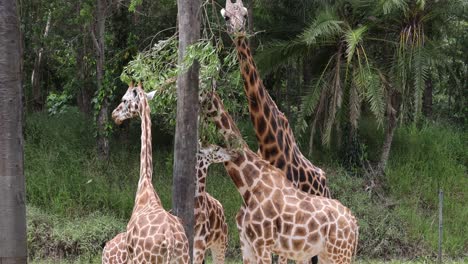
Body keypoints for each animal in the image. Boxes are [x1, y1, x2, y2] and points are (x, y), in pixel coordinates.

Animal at [110, 81, 189, 262]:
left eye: (124, 100)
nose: (114, 115)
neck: (145, 181)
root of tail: (170, 239)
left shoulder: (131, 256)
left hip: (145, 259)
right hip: (185, 257)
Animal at [200, 89, 358, 262]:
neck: (249, 184)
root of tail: (354, 224)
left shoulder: (262, 244)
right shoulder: (246, 244)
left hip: (339, 253)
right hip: (326, 253)